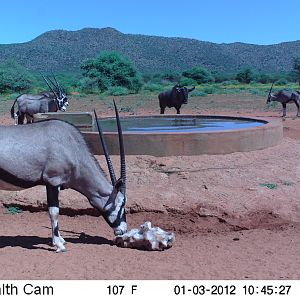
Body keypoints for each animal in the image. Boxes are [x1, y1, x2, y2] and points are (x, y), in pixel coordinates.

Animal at [0, 102, 126, 252]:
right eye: (122, 203)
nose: (123, 230)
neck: (72, 147)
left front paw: (61, 239)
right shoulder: (53, 181)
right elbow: (54, 212)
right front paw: (58, 244)